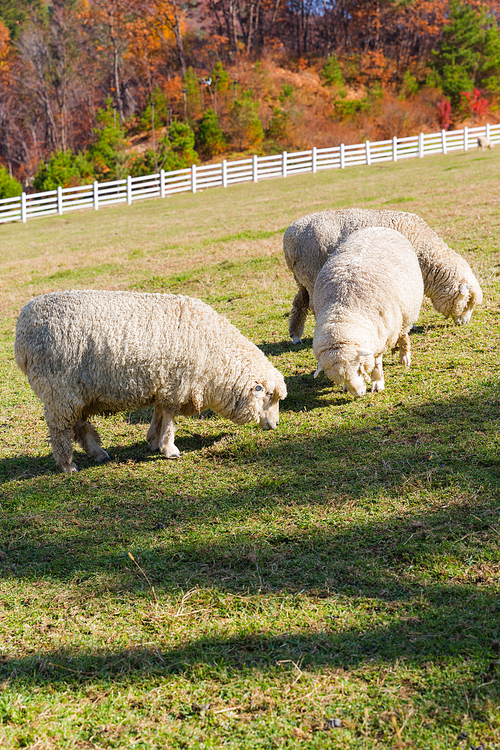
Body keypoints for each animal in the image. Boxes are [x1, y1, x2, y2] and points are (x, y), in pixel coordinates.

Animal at [15, 290, 288, 472]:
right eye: (268, 396)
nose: (275, 425)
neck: (215, 356)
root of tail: (23, 328)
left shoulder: (164, 383)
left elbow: (159, 414)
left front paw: (154, 441)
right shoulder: (177, 384)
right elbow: (169, 419)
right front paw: (169, 449)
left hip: (77, 391)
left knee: (79, 425)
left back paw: (98, 453)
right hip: (58, 389)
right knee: (60, 430)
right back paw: (67, 465)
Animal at [284, 209, 482, 344]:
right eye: (468, 302)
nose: (465, 323)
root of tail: (288, 236)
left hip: (302, 277)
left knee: (299, 303)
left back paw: (295, 336)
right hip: (311, 272)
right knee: (312, 306)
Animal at [312, 226, 422, 400]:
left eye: (359, 368)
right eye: (340, 378)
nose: (359, 394)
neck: (342, 313)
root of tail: (378, 227)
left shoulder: (380, 337)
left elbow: (377, 363)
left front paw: (377, 382)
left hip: (404, 314)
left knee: (403, 334)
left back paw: (404, 357)